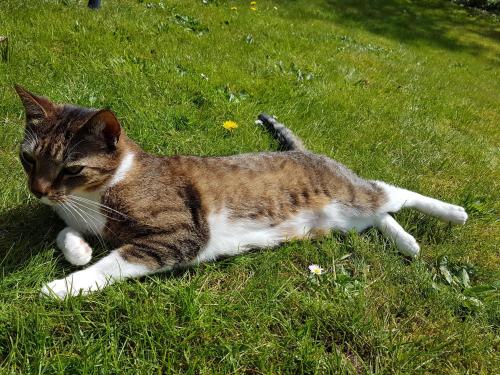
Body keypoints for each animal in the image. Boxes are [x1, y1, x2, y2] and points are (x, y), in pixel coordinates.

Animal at [14, 85, 468, 300]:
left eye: (71, 168)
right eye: (28, 160)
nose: (38, 191)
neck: (92, 197)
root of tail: (303, 151)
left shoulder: (180, 236)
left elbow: (112, 263)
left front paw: (62, 287)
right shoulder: (78, 220)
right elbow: (67, 233)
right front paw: (79, 250)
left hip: (351, 196)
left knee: (392, 192)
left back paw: (454, 213)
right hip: (345, 221)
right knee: (379, 214)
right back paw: (407, 243)